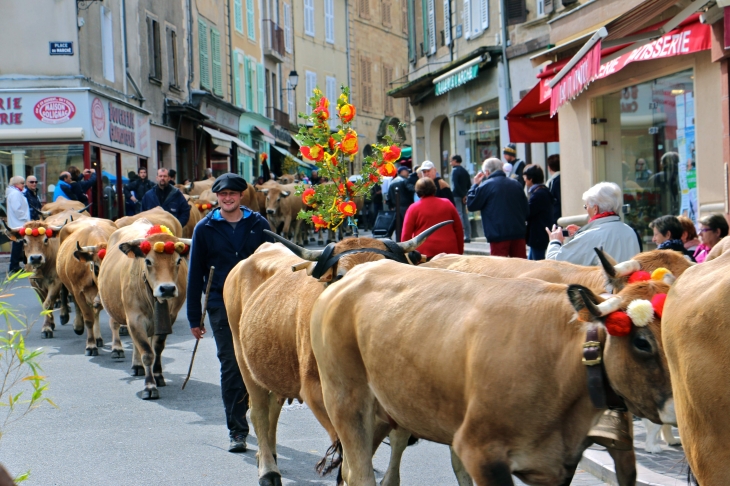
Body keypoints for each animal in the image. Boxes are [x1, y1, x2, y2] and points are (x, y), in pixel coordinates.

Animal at [56, 218, 117, 356]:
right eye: (97, 267)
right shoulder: (78, 291)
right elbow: (88, 318)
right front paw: (90, 345)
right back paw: (76, 324)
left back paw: (98, 337)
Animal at [99, 221, 191, 398]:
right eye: (148, 261)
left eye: (178, 261)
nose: (167, 289)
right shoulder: (134, 318)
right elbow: (147, 353)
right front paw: (150, 386)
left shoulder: (168, 319)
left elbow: (157, 349)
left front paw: (158, 376)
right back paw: (132, 362)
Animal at [222, 226, 450, 486]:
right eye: (341, 277)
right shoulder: (319, 393)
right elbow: (349, 453)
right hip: (242, 358)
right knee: (258, 411)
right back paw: (268, 471)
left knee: (272, 408)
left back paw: (268, 454)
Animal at [312, 262, 676, 486]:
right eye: (642, 342)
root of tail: (357, 272)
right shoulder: (481, 451)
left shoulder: (558, 463)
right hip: (346, 400)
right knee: (360, 474)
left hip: (385, 410)